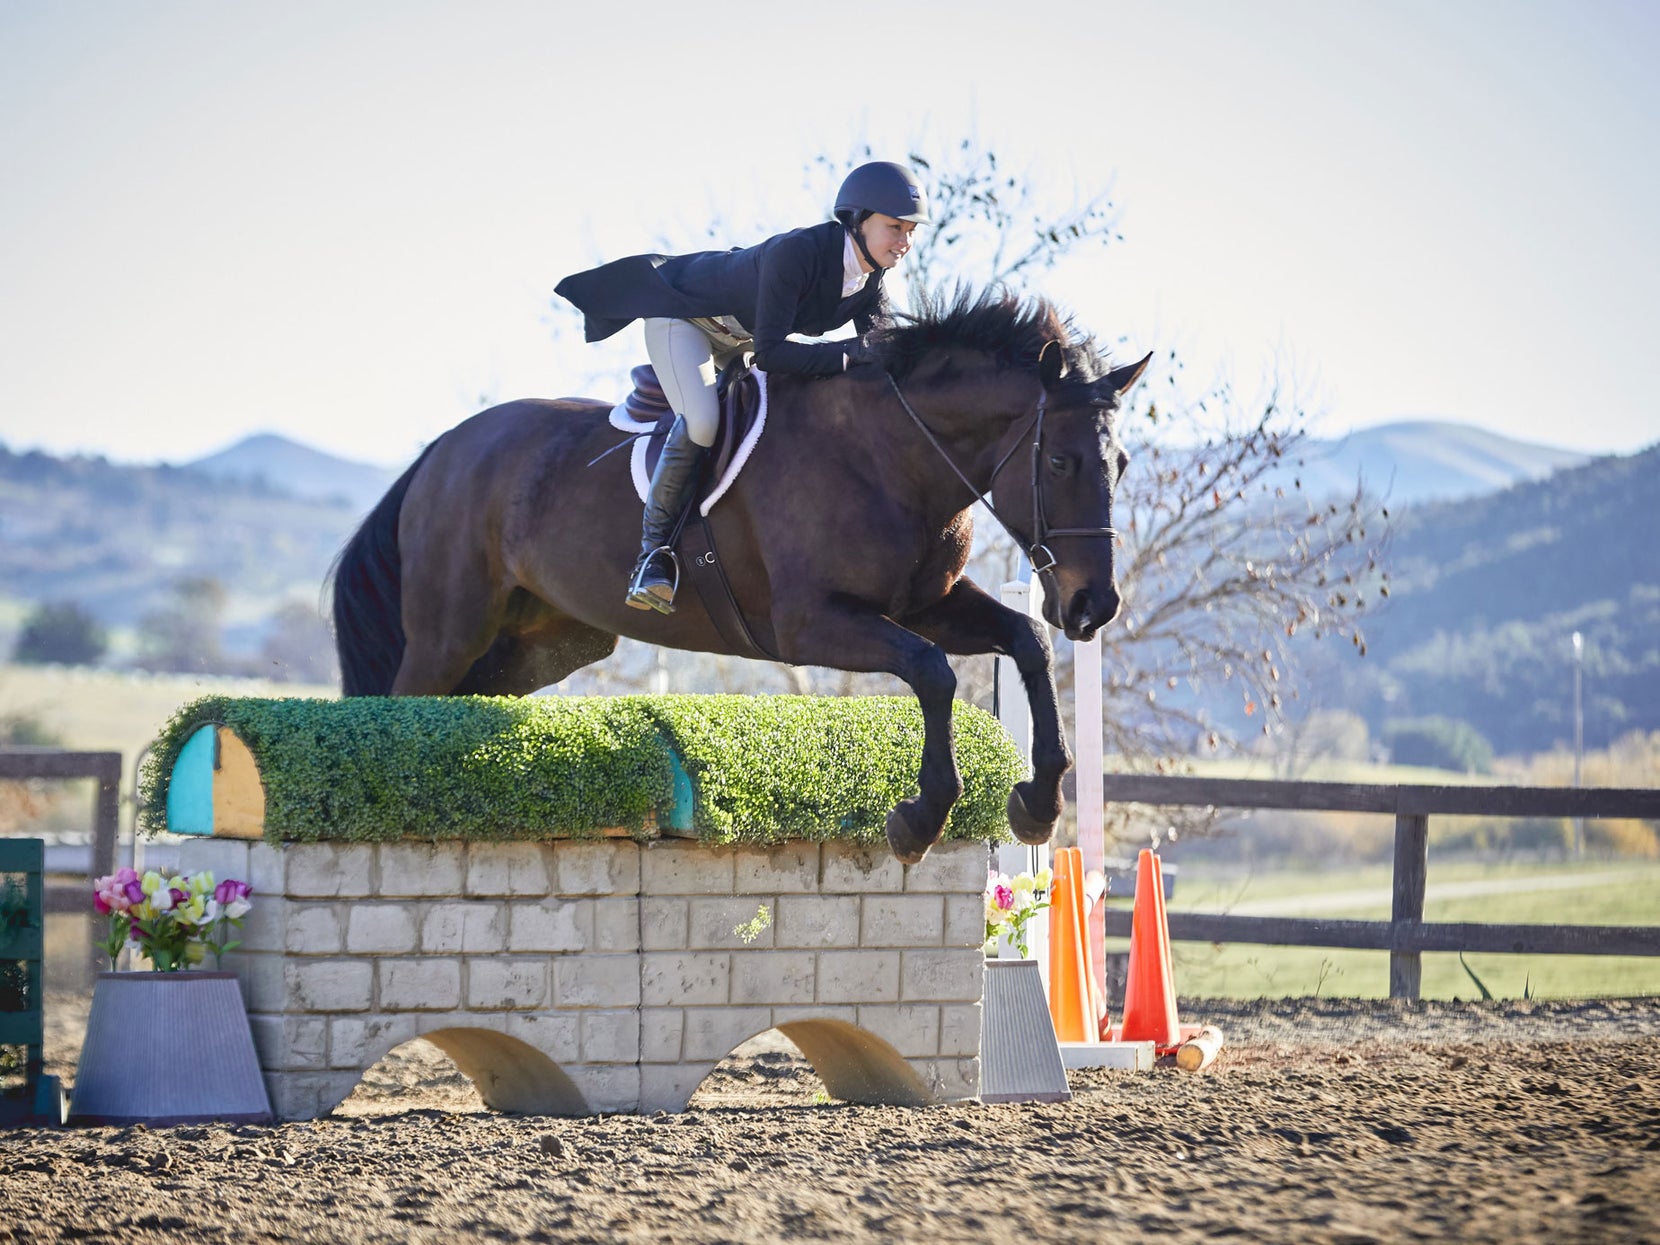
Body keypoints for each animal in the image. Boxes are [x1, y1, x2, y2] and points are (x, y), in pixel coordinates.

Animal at [331, 287, 1150, 863]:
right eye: (1059, 462)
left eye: (1120, 464)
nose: (1094, 605)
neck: (892, 454)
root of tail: (443, 450)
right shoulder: (811, 623)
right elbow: (932, 671)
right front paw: (920, 819)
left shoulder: (929, 603)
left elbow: (1025, 642)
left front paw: (1038, 802)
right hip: (448, 634)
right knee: (396, 708)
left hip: (532, 648)